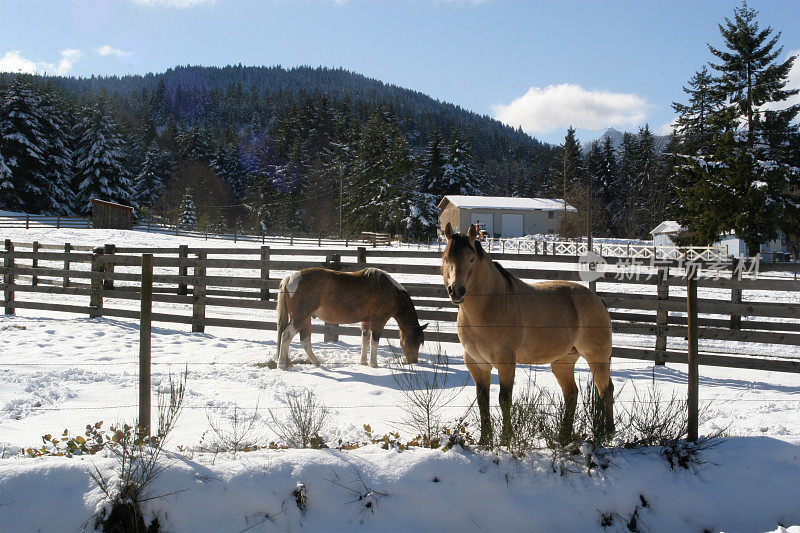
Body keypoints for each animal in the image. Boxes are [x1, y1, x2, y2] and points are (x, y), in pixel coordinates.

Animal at [276, 268, 424, 368]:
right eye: (416, 341)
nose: (413, 361)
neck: (391, 292)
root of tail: (289, 278)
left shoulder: (366, 321)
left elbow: (365, 340)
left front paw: (363, 362)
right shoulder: (378, 321)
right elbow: (374, 341)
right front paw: (374, 364)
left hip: (306, 319)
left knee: (305, 340)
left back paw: (316, 362)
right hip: (300, 317)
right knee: (286, 336)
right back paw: (282, 364)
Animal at [440, 222, 616, 442]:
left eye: (471, 258)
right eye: (446, 257)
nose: (456, 291)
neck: (491, 304)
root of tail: (596, 298)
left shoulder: (506, 362)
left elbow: (504, 399)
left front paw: (506, 440)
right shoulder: (476, 364)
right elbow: (482, 401)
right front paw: (485, 441)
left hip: (597, 357)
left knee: (605, 391)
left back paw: (608, 434)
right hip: (563, 361)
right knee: (571, 394)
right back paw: (563, 438)